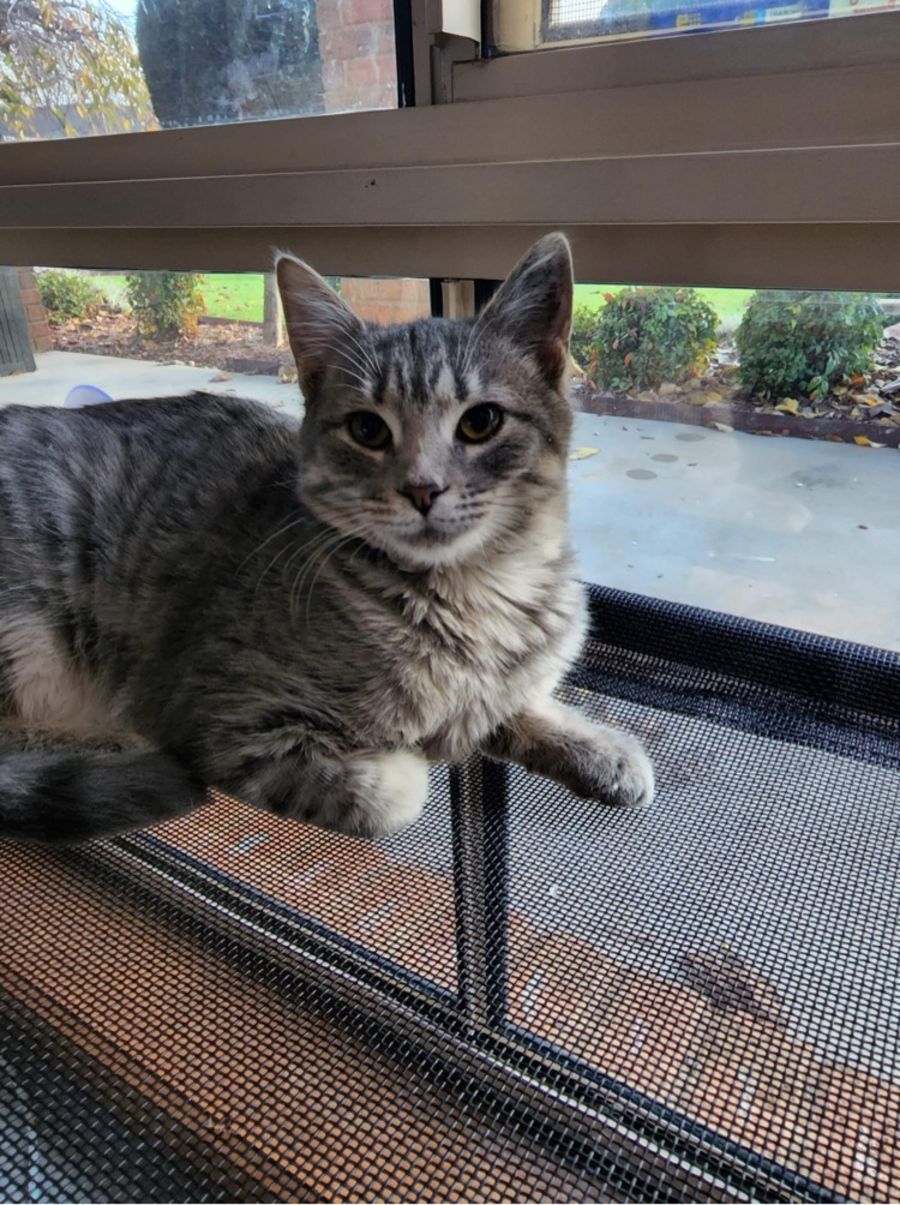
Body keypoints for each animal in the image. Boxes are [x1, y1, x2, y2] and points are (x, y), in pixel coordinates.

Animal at [0, 233, 654, 844]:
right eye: (368, 429)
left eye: (481, 421)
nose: (422, 489)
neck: (474, 597)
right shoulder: (223, 717)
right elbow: (396, 789)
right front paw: (410, 757)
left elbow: (516, 704)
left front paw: (596, 748)